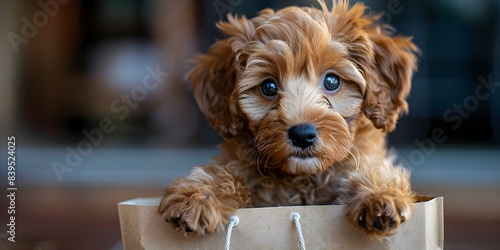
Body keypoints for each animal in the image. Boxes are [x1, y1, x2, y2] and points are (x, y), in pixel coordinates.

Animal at [159, 0, 418, 239]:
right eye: (268, 87)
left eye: (332, 81)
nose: (302, 134)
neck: (301, 179)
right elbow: (225, 171)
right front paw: (197, 195)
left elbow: (373, 168)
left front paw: (380, 194)